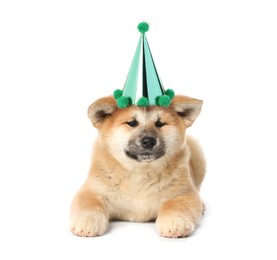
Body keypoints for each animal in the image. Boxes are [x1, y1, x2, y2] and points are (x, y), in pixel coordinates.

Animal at [69, 95, 205, 238]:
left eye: (160, 124)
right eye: (132, 123)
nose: (149, 141)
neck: (140, 172)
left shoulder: (182, 193)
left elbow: (177, 206)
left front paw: (175, 221)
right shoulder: (92, 191)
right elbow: (89, 205)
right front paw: (87, 221)